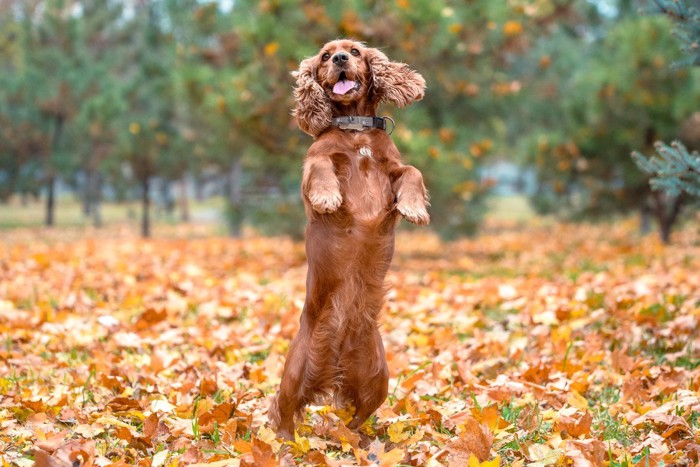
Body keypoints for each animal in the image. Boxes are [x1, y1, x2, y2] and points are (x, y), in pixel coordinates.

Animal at [270, 40, 430, 442]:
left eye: (355, 51)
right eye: (325, 56)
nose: (341, 59)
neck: (356, 131)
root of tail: (332, 372)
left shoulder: (394, 167)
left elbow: (413, 171)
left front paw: (414, 207)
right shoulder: (315, 164)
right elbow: (321, 167)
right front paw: (328, 197)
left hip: (379, 379)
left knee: (358, 416)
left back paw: (356, 438)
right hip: (292, 375)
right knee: (282, 412)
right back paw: (283, 444)